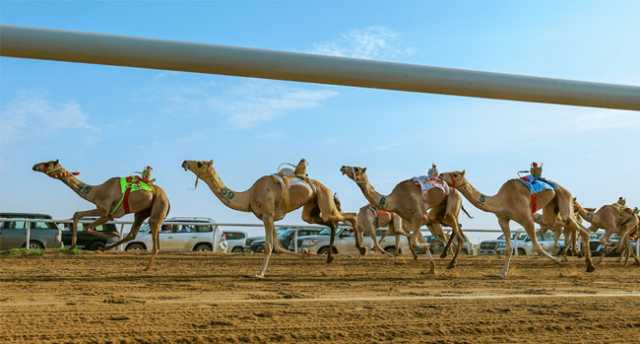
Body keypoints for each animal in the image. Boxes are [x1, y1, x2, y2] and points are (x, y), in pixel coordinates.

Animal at [32, 160, 170, 270]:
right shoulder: (104, 212)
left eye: (47, 164)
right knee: (132, 234)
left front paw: (112, 235)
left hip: (158, 206)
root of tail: (167, 199)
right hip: (141, 212)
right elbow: (77, 215)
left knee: (153, 236)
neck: (95, 191)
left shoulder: (106, 212)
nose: (35, 166)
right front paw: (72, 247)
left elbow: (89, 227)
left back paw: (147, 267)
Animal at [182, 160, 358, 278]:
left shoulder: (267, 215)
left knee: (350, 217)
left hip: (324, 197)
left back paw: (360, 249)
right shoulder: (270, 218)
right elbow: (278, 247)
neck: (249, 195)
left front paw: (259, 273)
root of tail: (327, 188)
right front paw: (307, 253)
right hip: (311, 208)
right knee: (330, 222)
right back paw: (330, 257)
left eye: (199, 163)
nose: (184, 162)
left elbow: (269, 246)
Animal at [338, 165, 468, 272]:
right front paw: (431, 268)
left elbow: (414, 241)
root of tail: (455, 191)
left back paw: (451, 262)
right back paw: (446, 256)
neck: (394, 200)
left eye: (356, 168)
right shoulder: (414, 220)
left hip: (450, 208)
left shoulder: (418, 217)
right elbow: (415, 239)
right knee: (451, 231)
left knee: (458, 235)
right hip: (438, 215)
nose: (343, 167)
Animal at [440, 171, 596, 278]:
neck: (502, 200)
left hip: (564, 199)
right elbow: (508, 248)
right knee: (566, 226)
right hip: (550, 211)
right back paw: (587, 264)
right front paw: (502, 273)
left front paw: (558, 261)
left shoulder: (526, 218)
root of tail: (568, 191)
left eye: (455, 174)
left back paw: (586, 263)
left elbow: (536, 246)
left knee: (578, 227)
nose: (441, 174)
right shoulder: (503, 219)